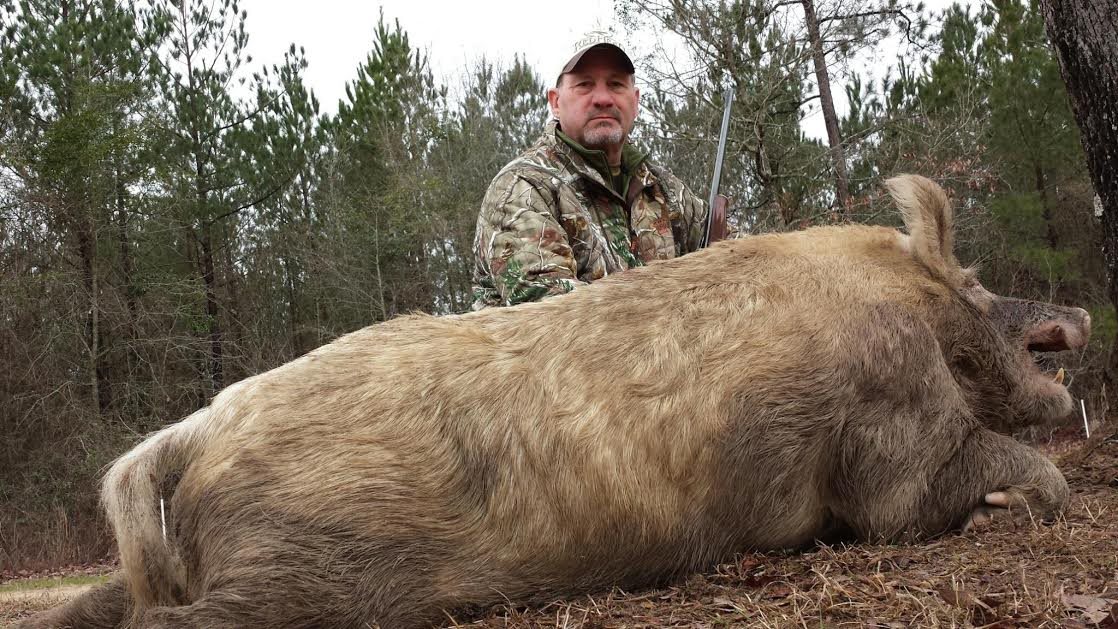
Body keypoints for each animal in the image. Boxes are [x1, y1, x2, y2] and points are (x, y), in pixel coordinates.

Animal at [23, 175, 1089, 628]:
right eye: (979, 286)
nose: (1078, 308)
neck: (904, 301)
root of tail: (188, 432)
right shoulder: (886, 431)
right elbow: (949, 491)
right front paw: (1015, 500)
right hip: (298, 577)